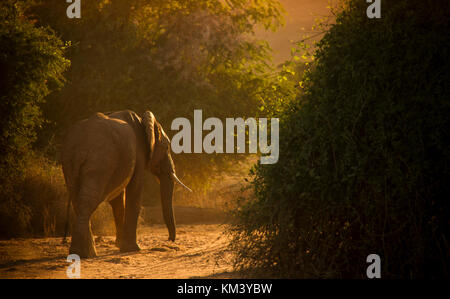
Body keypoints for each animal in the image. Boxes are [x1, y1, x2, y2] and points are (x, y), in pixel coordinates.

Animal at [60, 109, 191, 258]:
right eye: (167, 147)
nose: (169, 239)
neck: (142, 121)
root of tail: (78, 148)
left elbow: (118, 199)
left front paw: (120, 245)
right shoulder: (138, 154)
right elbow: (134, 192)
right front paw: (133, 249)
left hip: (70, 164)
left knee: (78, 200)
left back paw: (83, 253)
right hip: (100, 162)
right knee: (87, 201)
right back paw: (85, 253)